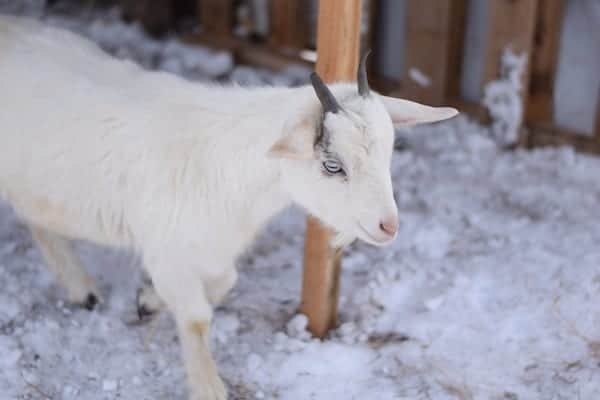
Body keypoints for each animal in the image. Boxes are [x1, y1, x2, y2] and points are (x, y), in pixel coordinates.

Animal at [0, 15, 458, 400]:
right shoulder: (166, 250)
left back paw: (81, 288)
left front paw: (149, 301)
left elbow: (225, 282)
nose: (388, 226)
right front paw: (208, 387)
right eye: (333, 165)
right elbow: (197, 317)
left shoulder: (213, 248)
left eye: (389, 152)